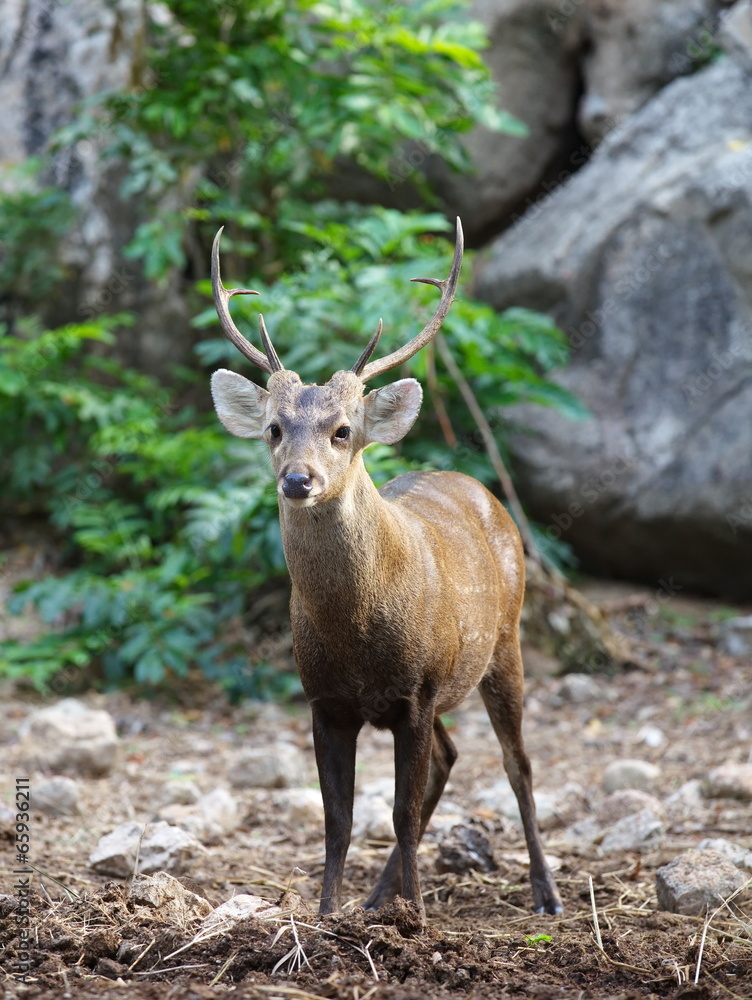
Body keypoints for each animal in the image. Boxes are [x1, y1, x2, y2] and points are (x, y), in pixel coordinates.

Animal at [209, 221, 560, 928]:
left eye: (344, 430)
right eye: (273, 429)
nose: (298, 480)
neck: (357, 634)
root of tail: (477, 487)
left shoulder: (416, 693)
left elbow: (398, 811)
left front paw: (418, 921)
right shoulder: (323, 700)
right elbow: (337, 821)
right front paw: (327, 914)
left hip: (503, 641)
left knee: (517, 763)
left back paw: (545, 892)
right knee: (452, 758)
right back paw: (377, 896)